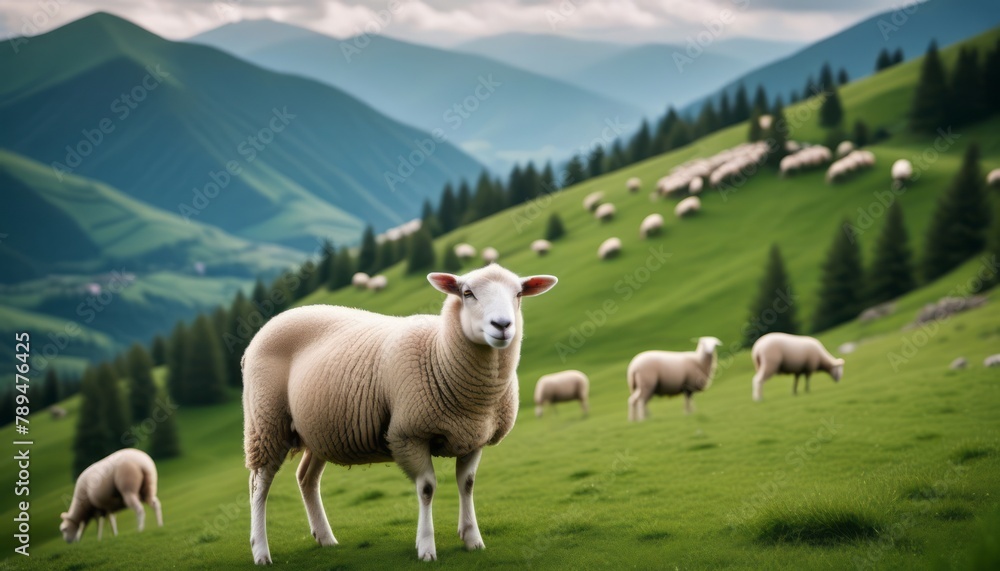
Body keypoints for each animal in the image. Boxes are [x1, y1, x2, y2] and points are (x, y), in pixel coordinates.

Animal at [241, 264, 558, 564]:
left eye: (518, 294)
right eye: (467, 293)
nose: (502, 325)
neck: (439, 352)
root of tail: (275, 320)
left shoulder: (473, 436)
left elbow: (466, 485)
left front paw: (472, 539)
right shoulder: (408, 434)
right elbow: (427, 488)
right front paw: (426, 548)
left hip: (319, 430)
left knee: (306, 478)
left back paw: (326, 538)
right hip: (266, 422)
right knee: (259, 485)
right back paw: (260, 552)